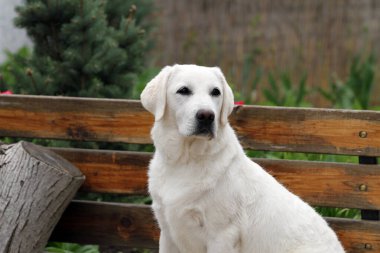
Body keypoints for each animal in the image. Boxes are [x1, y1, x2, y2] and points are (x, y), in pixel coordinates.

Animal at [140, 65, 344, 253]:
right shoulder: (167, 232)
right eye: (183, 90)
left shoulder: (222, 235)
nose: (207, 116)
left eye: (215, 92)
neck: (185, 160)